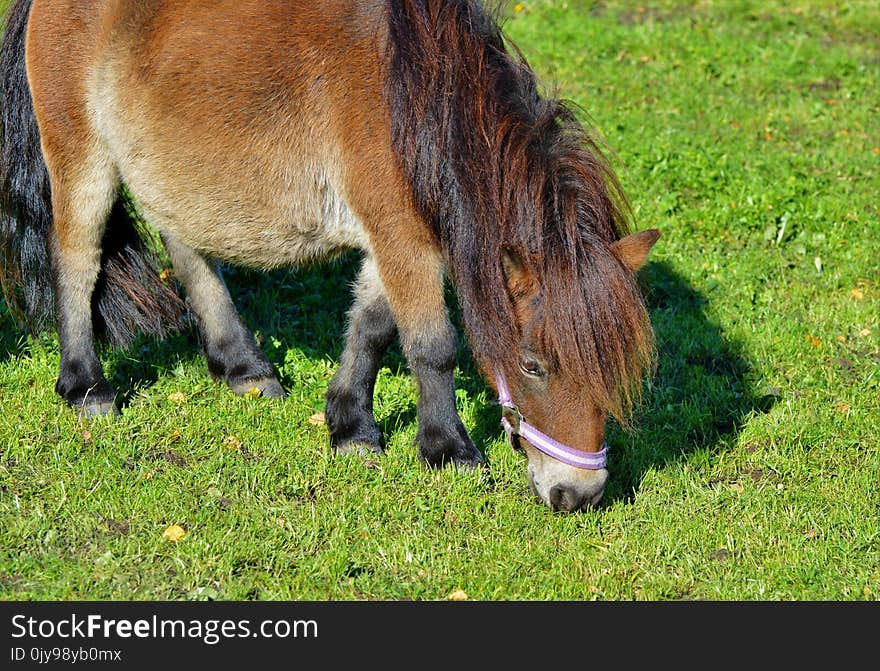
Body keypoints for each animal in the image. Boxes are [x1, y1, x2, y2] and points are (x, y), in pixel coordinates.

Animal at [1, 0, 660, 512]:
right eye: (532, 365)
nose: (578, 494)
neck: (415, 100)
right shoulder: (402, 237)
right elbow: (432, 345)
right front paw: (449, 449)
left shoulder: (393, 237)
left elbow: (371, 327)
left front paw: (350, 425)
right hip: (81, 156)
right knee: (78, 260)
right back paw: (86, 387)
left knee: (188, 254)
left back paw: (244, 368)